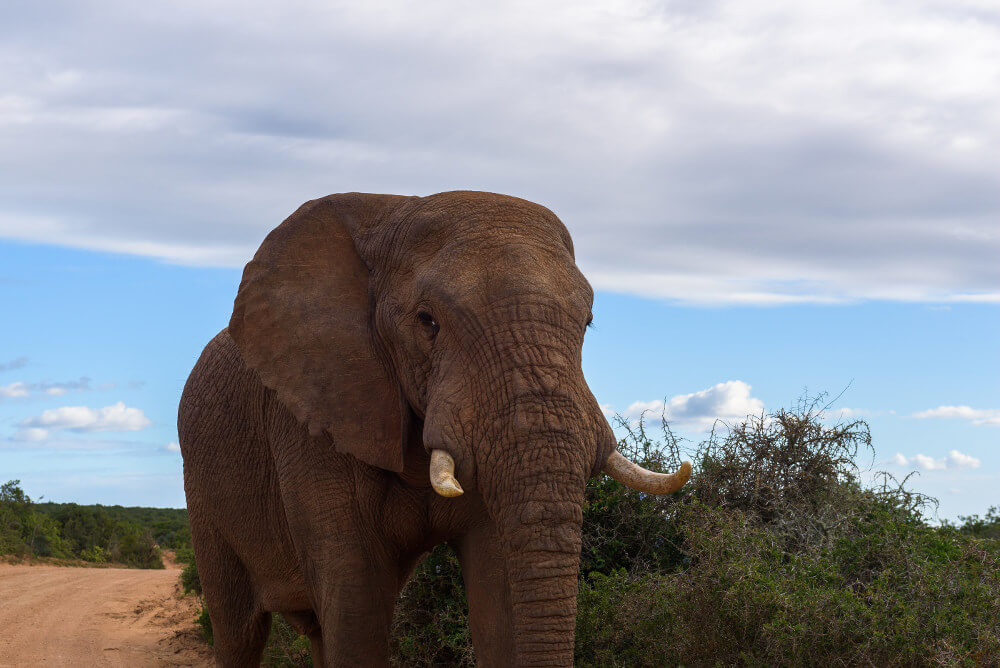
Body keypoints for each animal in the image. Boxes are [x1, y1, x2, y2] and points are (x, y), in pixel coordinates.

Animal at [180, 190, 692, 664]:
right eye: (427, 322)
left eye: (588, 322)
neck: (387, 213)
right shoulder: (316, 411)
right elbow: (356, 605)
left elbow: (496, 597)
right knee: (239, 631)